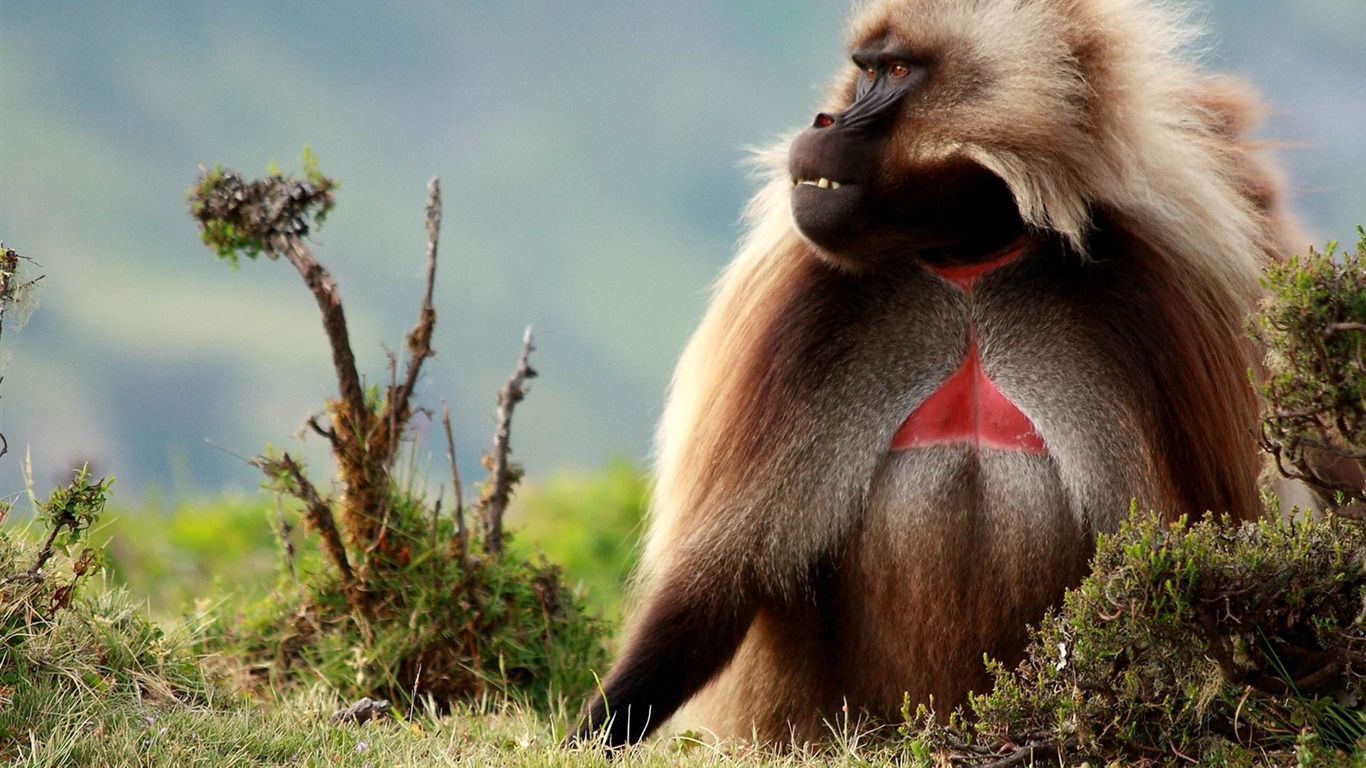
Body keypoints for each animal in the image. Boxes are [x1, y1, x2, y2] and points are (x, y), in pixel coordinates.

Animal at [571, 0, 1296, 748]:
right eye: (861, 70)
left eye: (894, 71)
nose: (823, 122)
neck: (969, 257)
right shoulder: (804, 317)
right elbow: (720, 580)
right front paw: (595, 730)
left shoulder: (1152, 310)